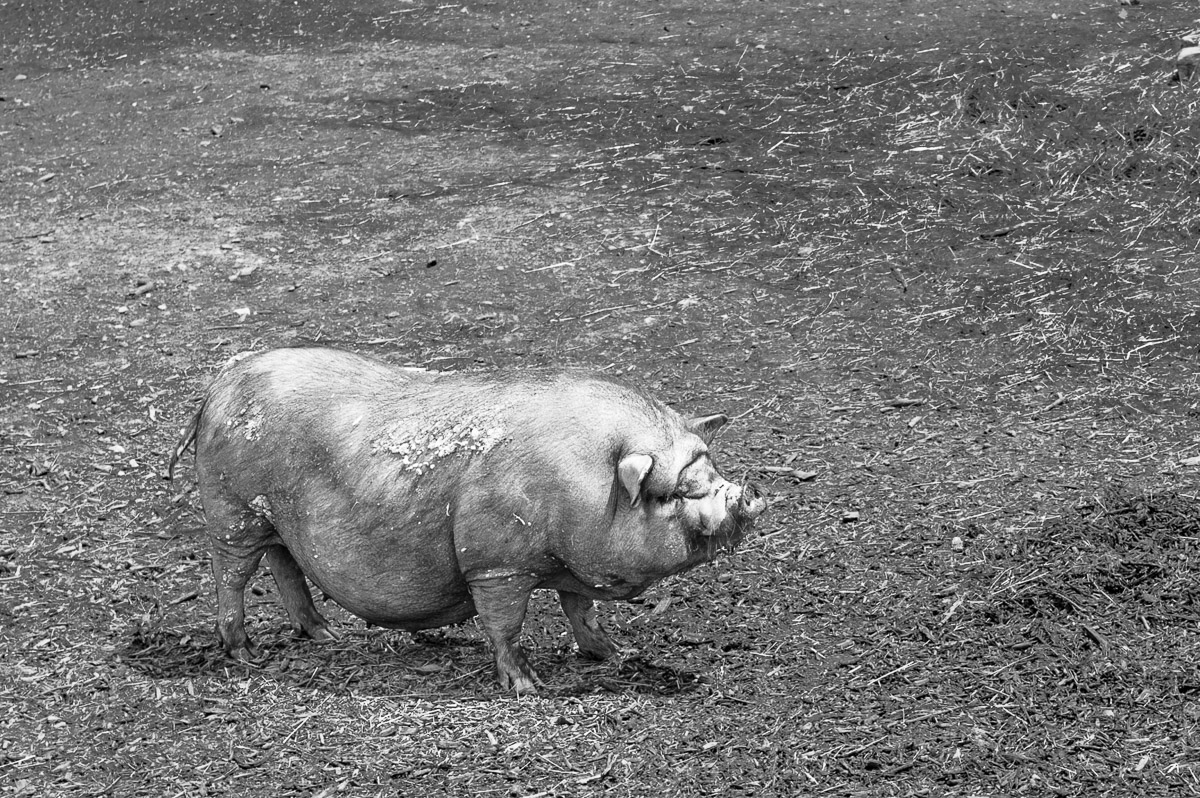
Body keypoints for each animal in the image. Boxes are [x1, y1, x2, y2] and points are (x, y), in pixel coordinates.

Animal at [169, 346, 764, 692]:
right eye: (675, 491)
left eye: (710, 467)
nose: (752, 493)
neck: (587, 488)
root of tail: (216, 388)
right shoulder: (496, 563)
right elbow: (504, 625)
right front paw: (529, 688)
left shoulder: (571, 565)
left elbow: (581, 612)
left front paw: (616, 655)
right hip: (231, 511)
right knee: (231, 576)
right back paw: (246, 655)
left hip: (272, 521)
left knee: (284, 564)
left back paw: (324, 633)